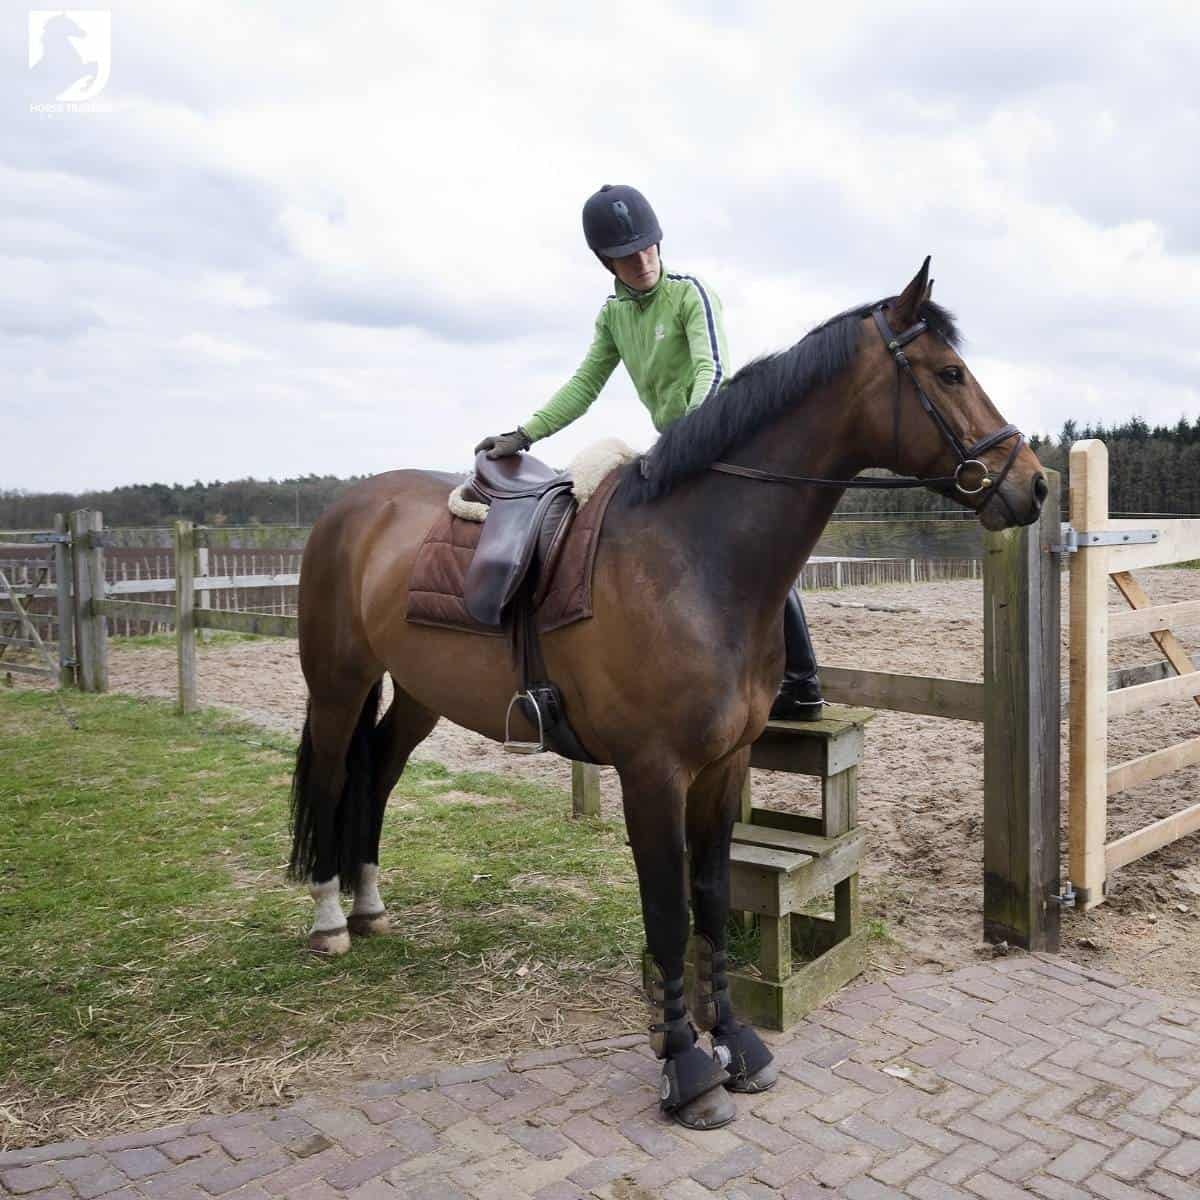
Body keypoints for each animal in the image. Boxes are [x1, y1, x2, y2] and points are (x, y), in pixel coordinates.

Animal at [287, 258, 1047, 1129]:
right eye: (950, 373)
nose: (1034, 484)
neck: (695, 558)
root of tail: (352, 506)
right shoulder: (652, 773)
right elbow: (667, 910)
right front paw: (686, 1066)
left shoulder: (723, 766)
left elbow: (711, 899)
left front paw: (738, 1045)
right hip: (337, 684)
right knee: (335, 777)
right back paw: (329, 919)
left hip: (418, 695)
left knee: (378, 774)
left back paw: (370, 905)